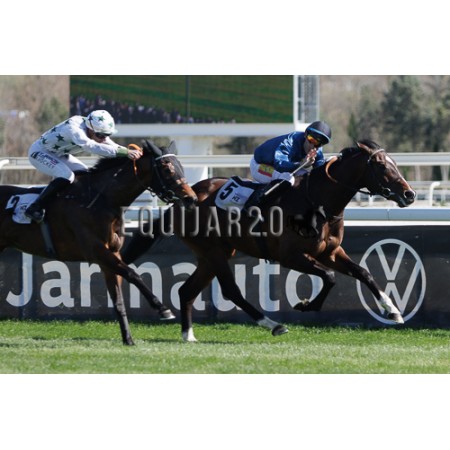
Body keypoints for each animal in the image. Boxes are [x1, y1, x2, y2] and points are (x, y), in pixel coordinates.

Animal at [0, 139, 198, 345]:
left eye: (181, 167)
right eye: (167, 169)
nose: (191, 198)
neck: (101, 199)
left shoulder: (111, 254)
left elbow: (118, 299)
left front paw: (128, 339)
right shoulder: (96, 250)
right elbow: (133, 274)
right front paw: (163, 309)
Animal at [122, 140, 416, 342]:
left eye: (394, 162)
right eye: (381, 165)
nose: (409, 194)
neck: (316, 200)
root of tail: (185, 198)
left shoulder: (330, 252)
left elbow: (363, 273)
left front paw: (392, 310)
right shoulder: (290, 256)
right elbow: (330, 277)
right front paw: (307, 305)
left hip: (215, 253)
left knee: (186, 290)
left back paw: (188, 335)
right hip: (213, 251)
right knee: (231, 291)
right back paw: (273, 324)